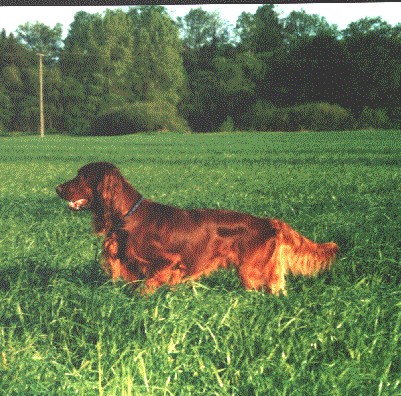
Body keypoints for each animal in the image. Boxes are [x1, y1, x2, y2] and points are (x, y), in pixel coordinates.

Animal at [55, 161, 338, 294]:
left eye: (82, 176)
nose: (57, 188)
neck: (128, 215)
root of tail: (270, 222)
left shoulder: (168, 262)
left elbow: (148, 288)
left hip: (252, 272)